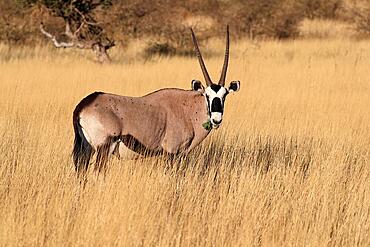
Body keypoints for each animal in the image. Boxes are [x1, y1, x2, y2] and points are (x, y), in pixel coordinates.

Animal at [73, 26, 240, 173]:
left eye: (224, 95)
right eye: (207, 95)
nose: (216, 119)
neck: (188, 110)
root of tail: (84, 105)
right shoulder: (172, 152)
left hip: (86, 148)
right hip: (104, 148)